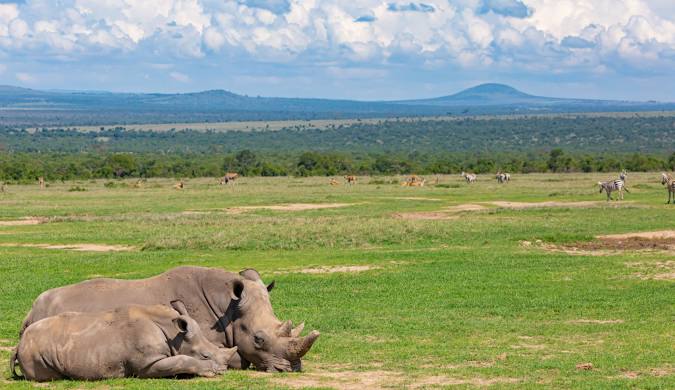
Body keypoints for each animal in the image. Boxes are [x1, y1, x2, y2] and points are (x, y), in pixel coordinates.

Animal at [10, 302, 239, 380]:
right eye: (205, 355)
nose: (224, 369)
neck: (174, 334)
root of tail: (19, 344)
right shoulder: (147, 363)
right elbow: (184, 360)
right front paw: (210, 371)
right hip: (33, 349)